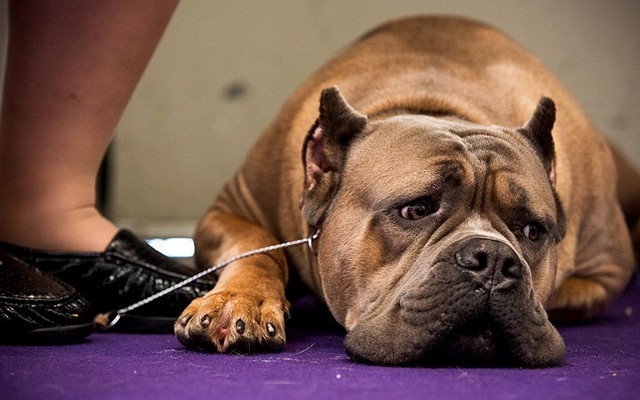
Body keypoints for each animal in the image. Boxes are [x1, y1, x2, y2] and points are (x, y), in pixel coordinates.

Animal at [174, 16, 639, 367]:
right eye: (416, 210)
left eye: (532, 232)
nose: (493, 259)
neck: (437, 106)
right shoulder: (232, 208)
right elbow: (255, 246)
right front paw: (241, 301)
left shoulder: (600, 270)